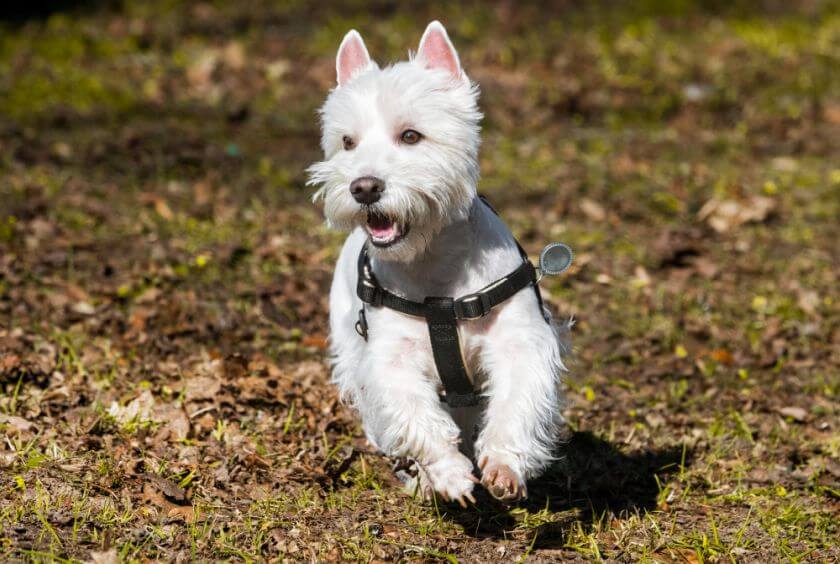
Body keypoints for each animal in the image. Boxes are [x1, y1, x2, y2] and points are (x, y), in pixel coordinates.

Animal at [306, 20, 568, 506]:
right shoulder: (389, 358)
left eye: (411, 136)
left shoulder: (520, 340)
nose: (363, 187)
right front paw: (447, 474)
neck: (435, 270)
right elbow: (415, 413)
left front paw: (503, 465)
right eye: (347, 142)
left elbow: (516, 402)